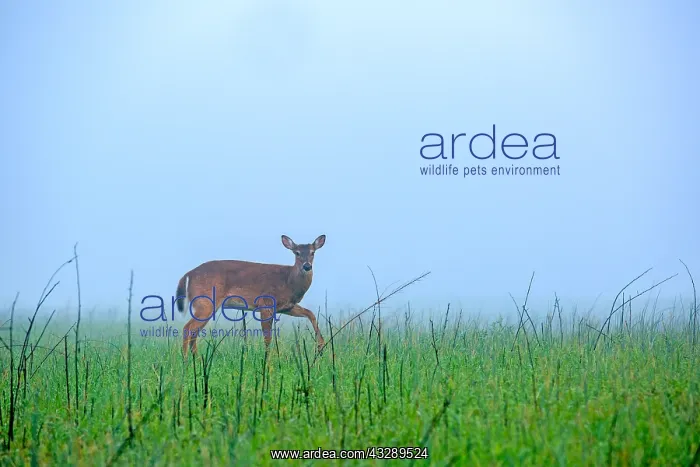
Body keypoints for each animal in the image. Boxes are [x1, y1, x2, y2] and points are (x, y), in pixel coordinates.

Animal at [174, 234, 326, 357]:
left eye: (313, 252)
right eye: (297, 253)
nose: (307, 266)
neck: (288, 281)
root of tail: (188, 274)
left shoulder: (287, 307)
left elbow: (310, 313)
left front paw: (321, 345)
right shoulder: (266, 303)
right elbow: (267, 338)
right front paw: (268, 361)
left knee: (193, 331)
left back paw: (197, 360)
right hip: (206, 302)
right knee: (188, 328)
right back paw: (186, 361)